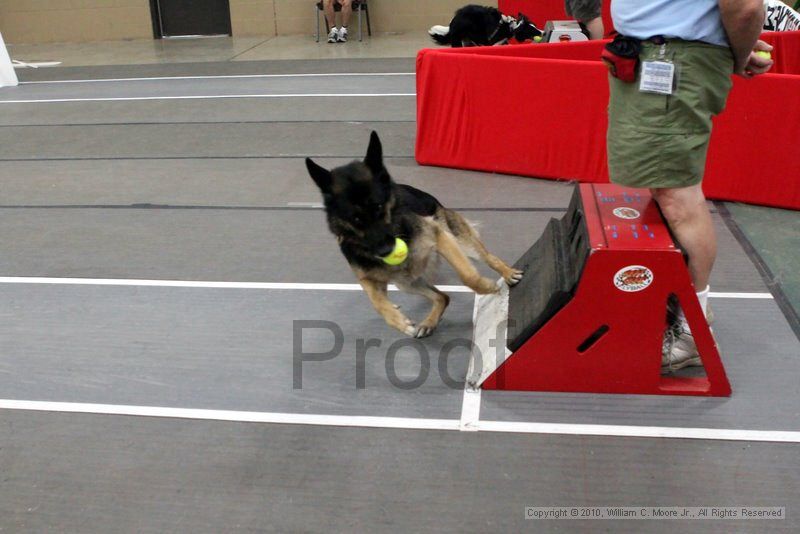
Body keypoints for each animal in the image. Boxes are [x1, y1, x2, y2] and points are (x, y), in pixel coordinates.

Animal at [304, 131, 520, 340]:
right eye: (355, 218)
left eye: (378, 207)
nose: (385, 251)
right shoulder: (366, 279)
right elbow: (378, 304)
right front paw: (398, 321)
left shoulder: (439, 237)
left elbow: (468, 276)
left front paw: (486, 287)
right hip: (405, 282)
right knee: (442, 297)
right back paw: (428, 322)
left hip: (460, 243)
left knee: (489, 258)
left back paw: (508, 273)